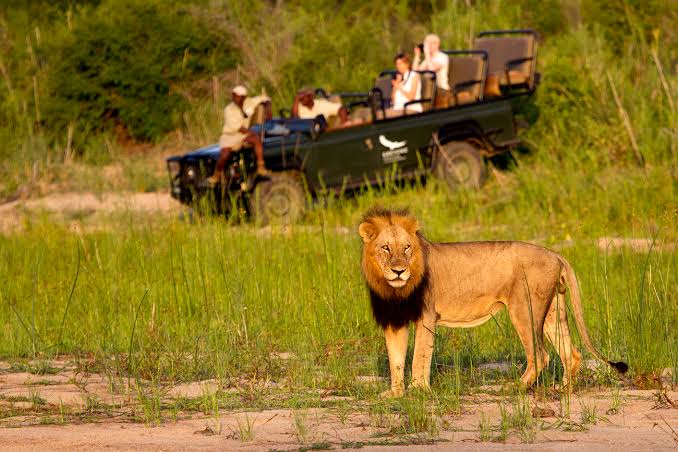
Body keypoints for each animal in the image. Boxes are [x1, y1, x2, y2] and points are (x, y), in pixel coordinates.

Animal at [358, 208, 627, 397]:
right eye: (385, 248)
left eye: (406, 248)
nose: (399, 271)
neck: (395, 290)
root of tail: (555, 254)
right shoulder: (393, 320)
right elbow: (395, 358)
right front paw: (395, 393)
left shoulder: (426, 317)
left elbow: (419, 356)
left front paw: (418, 390)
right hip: (553, 311)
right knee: (571, 354)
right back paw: (563, 390)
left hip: (524, 310)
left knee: (540, 355)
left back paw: (516, 387)